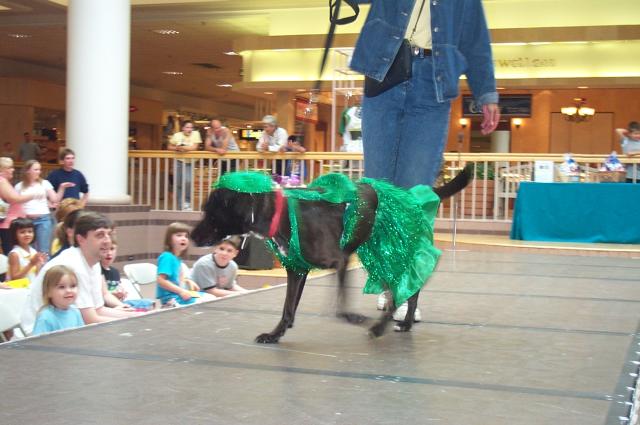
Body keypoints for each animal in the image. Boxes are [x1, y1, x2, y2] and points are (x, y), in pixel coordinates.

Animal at [192, 168, 471, 343]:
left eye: (211, 213)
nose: (191, 236)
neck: (281, 214)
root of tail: (412, 197)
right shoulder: (297, 270)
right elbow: (288, 308)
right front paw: (276, 334)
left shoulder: (339, 261)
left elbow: (339, 306)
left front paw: (356, 318)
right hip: (379, 256)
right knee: (407, 290)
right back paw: (404, 323)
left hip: (388, 253)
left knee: (404, 291)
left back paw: (382, 326)